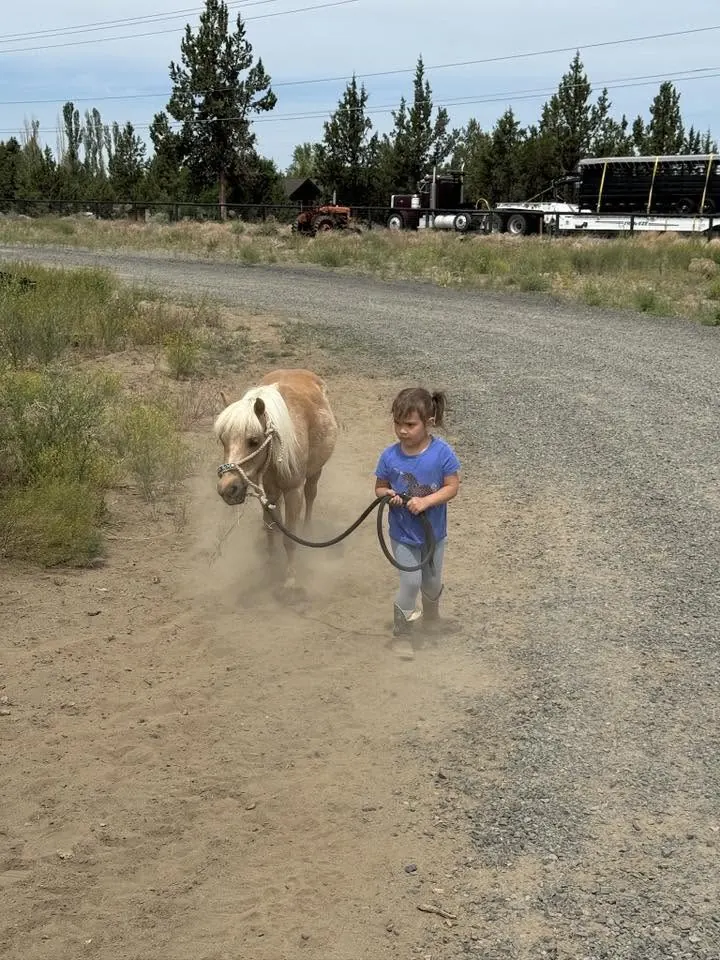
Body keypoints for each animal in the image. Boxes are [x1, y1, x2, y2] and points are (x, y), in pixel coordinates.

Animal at [214, 368, 339, 589]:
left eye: (254, 441)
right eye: (223, 440)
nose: (227, 488)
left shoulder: (293, 492)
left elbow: (290, 538)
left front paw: (290, 578)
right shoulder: (267, 490)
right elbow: (270, 527)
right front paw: (271, 563)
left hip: (315, 472)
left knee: (311, 495)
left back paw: (307, 528)